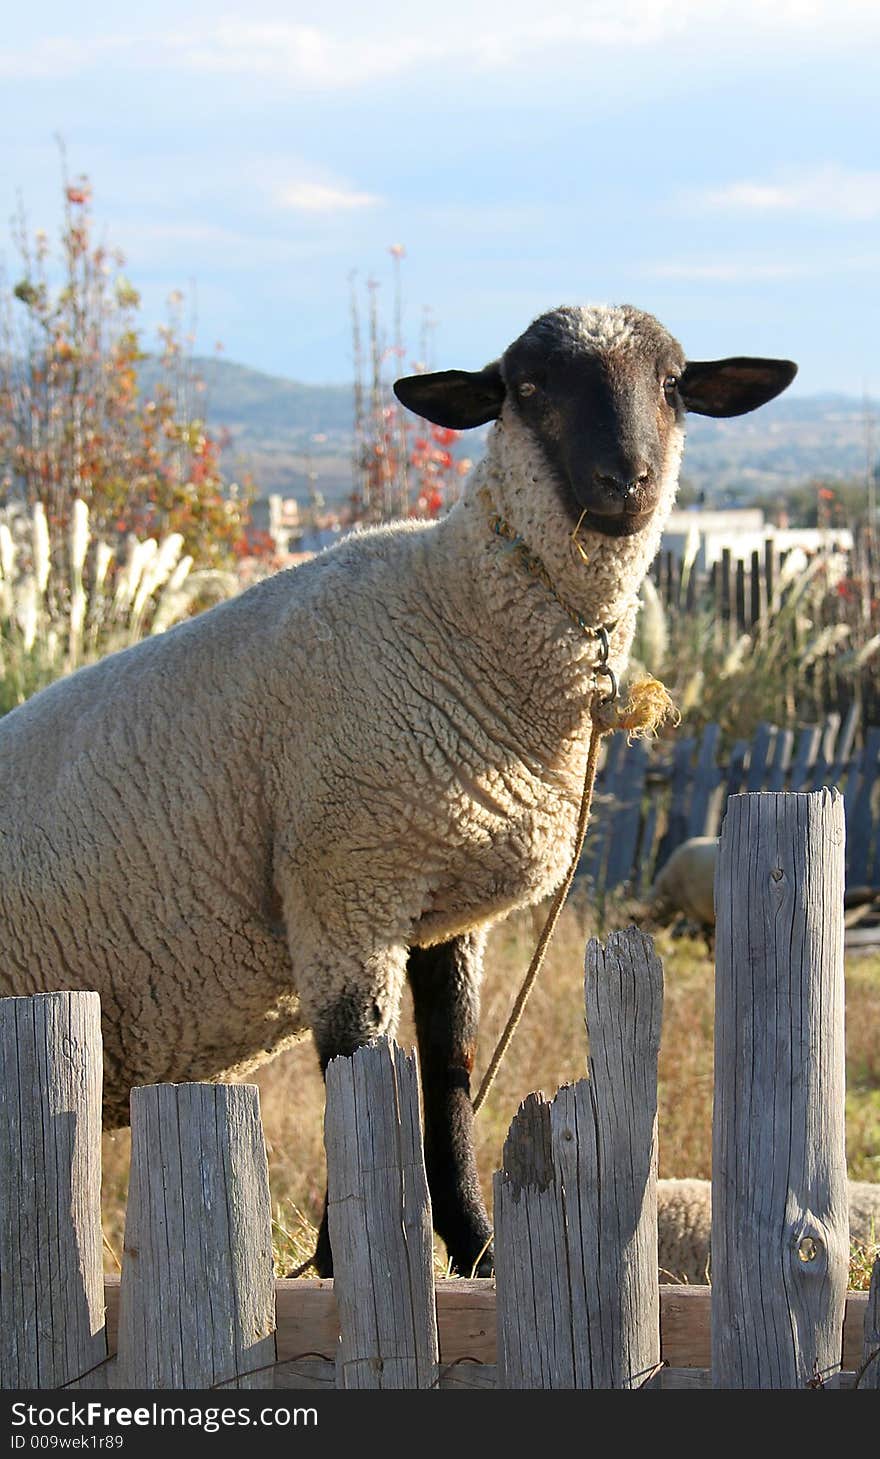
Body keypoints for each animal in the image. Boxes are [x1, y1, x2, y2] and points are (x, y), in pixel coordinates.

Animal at [0, 302, 799, 1272]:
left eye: (674, 382)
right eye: (527, 386)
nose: (626, 481)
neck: (459, 613)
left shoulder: (446, 910)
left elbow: (449, 1071)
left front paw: (474, 1247)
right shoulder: (347, 888)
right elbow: (359, 1074)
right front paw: (349, 1259)